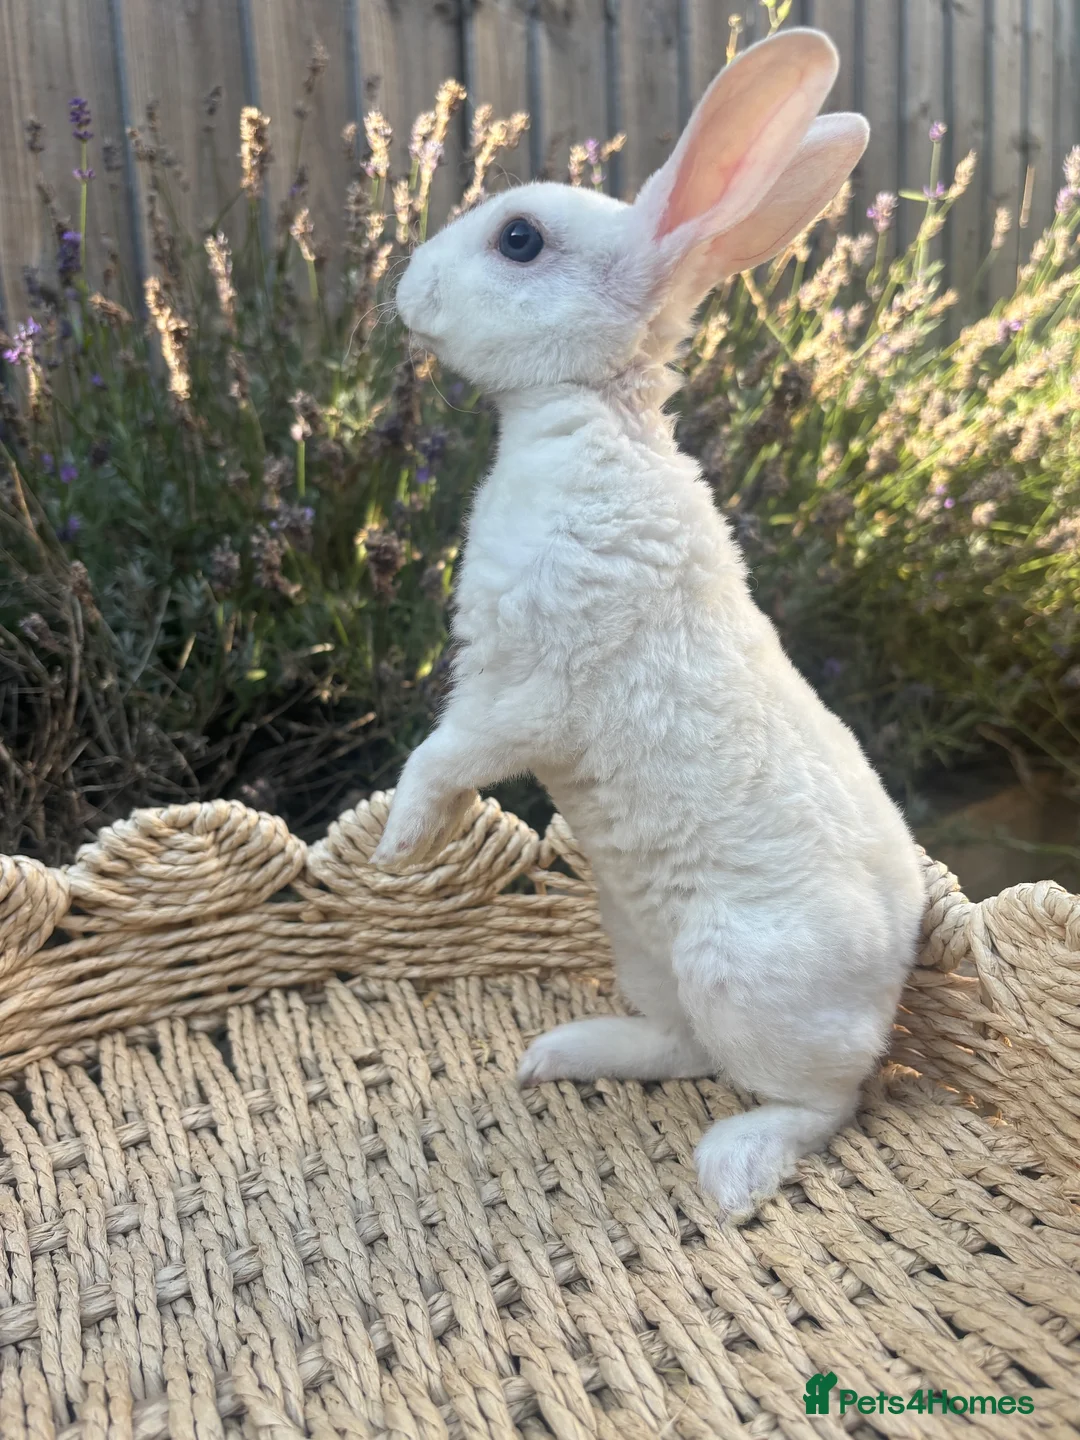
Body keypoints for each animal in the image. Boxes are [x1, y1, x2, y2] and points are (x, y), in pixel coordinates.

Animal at [372, 27, 927, 1218]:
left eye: (520, 240)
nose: (407, 289)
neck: (592, 414)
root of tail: (893, 982)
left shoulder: (526, 696)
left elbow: (441, 758)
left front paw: (398, 844)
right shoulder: (499, 687)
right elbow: (450, 760)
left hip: (741, 978)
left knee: (824, 1101)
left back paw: (733, 1167)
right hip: (638, 941)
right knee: (681, 1048)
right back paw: (564, 1054)